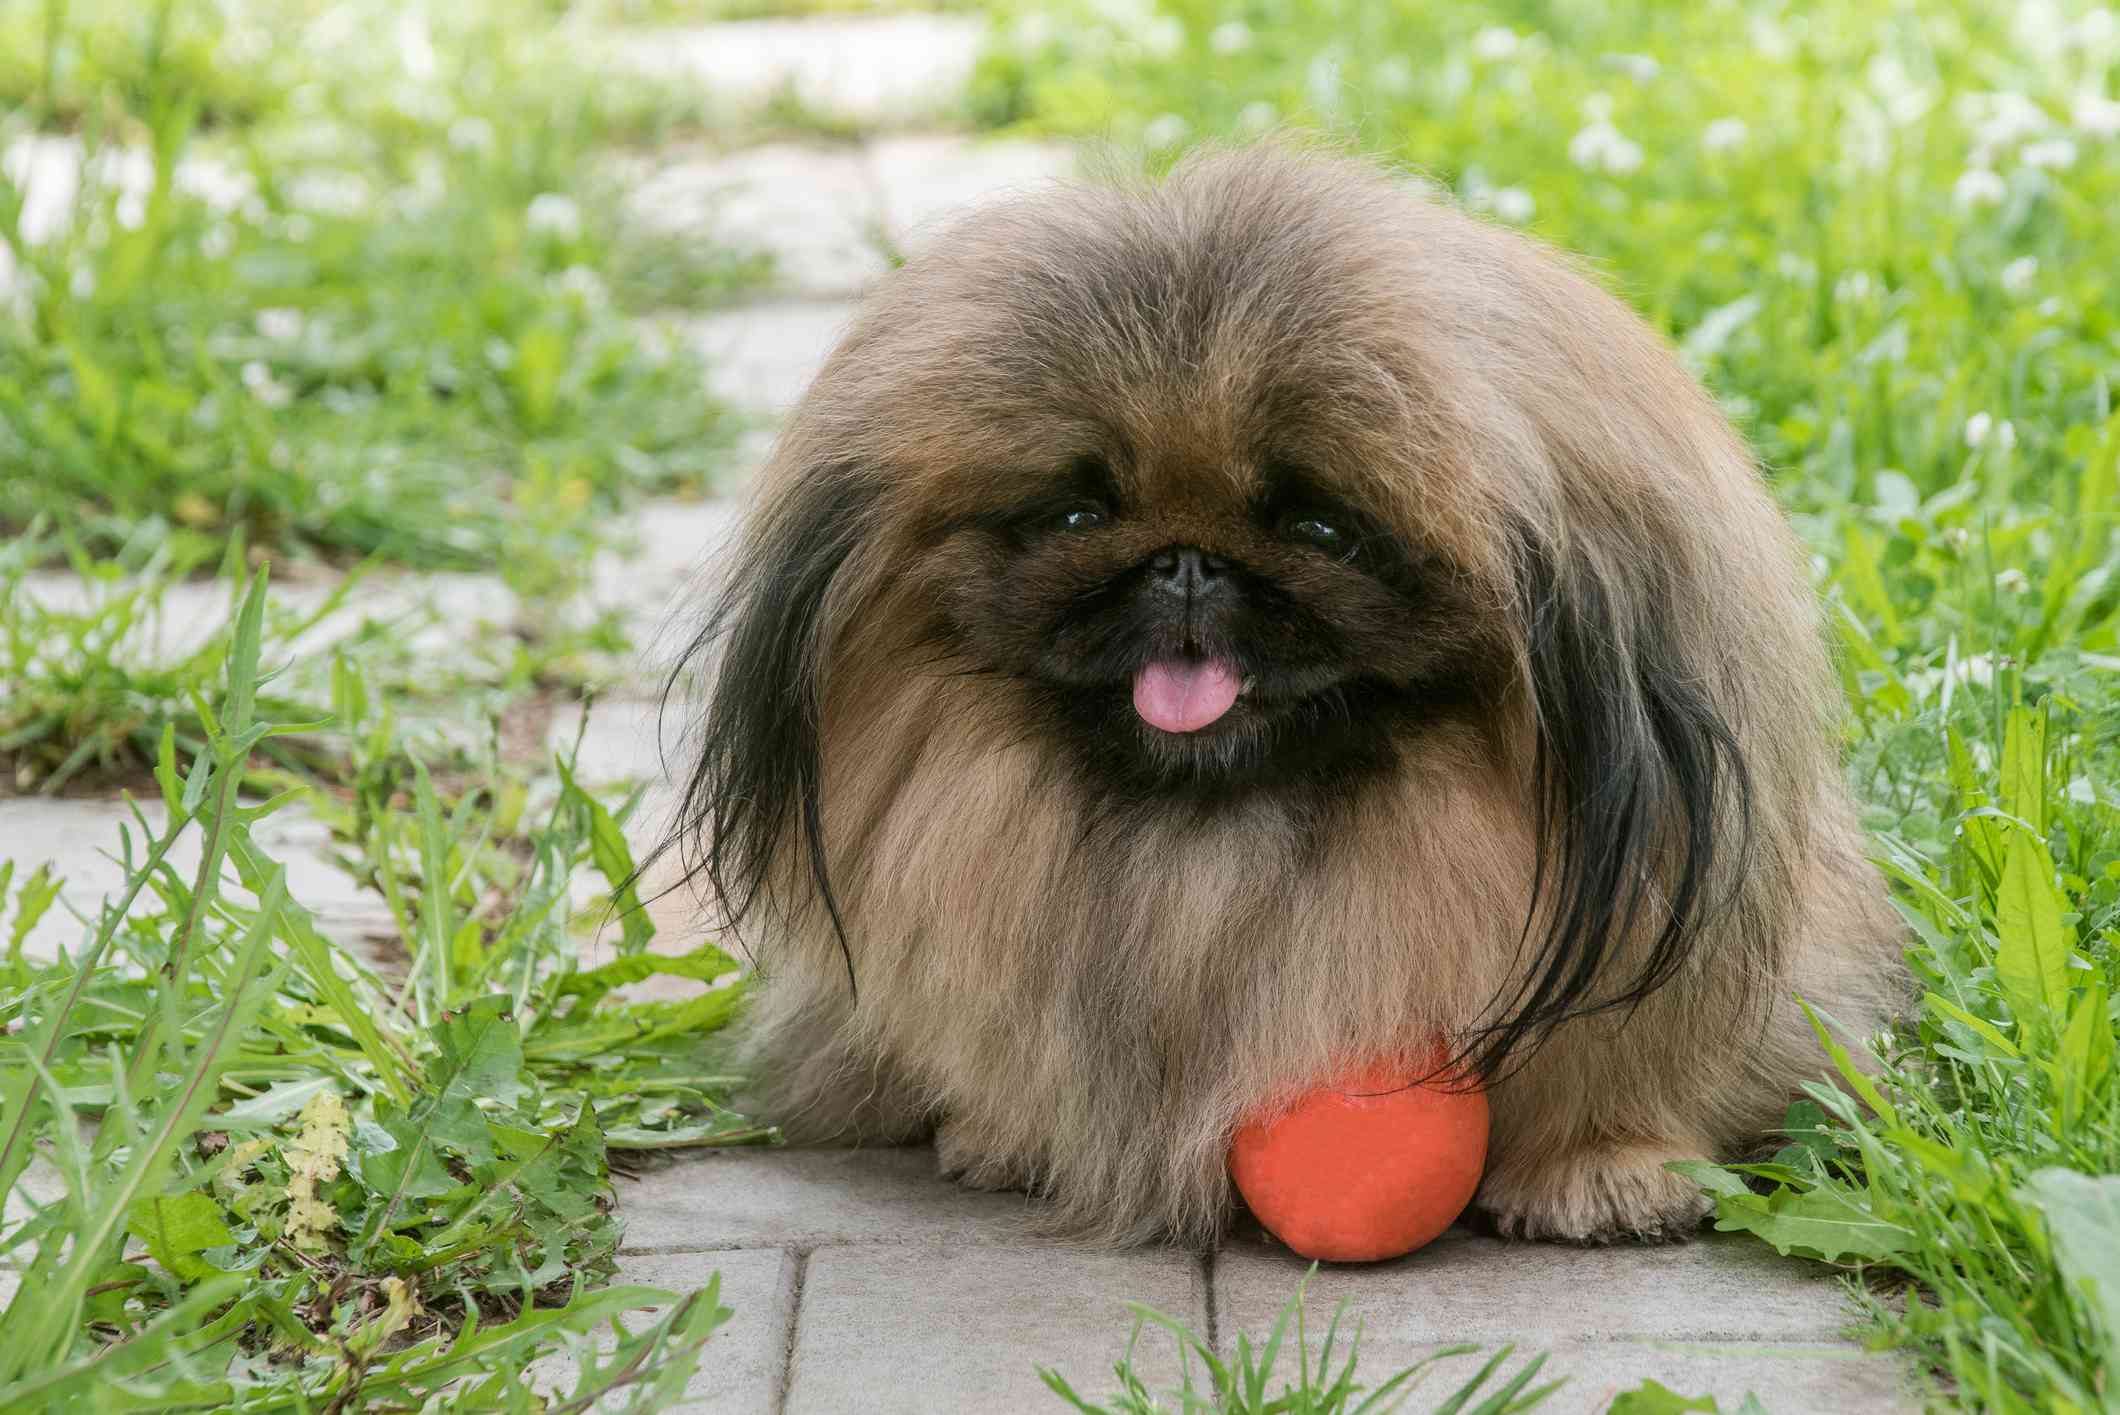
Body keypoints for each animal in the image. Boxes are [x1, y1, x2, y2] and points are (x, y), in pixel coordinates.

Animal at [665, 149, 1907, 1247]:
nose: (1183, 564)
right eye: (1074, 513)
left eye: (1318, 527)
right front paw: (1012, 1128)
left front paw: (1601, 1161)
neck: (1212, 851)